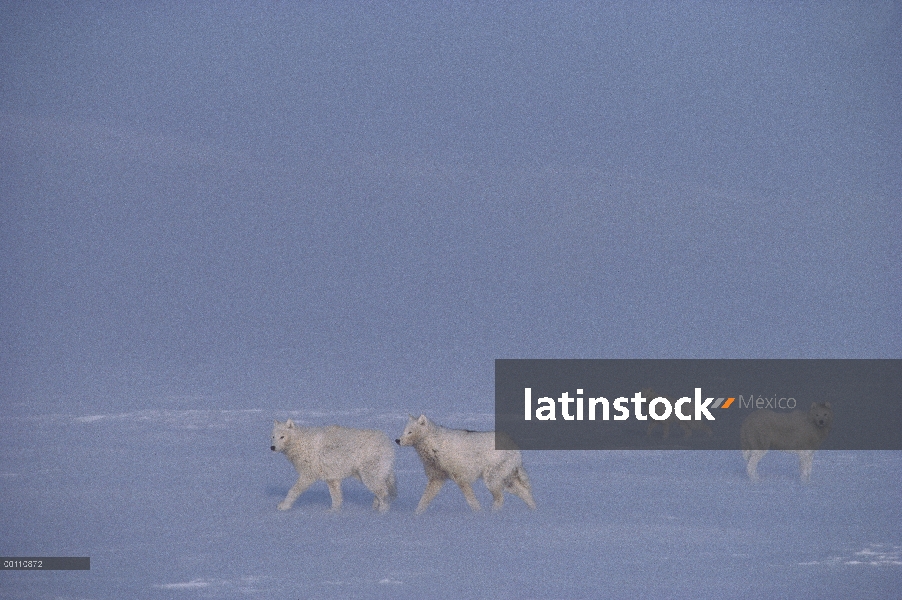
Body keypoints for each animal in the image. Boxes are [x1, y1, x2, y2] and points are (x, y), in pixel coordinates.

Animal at [268, 420, 396, 512]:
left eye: (282, 437)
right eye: (273, 436)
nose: (272, 447)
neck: (300, 443)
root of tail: (386, 442)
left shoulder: (307, 476)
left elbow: (292, 491)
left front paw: (284, 506)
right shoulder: (332, 479)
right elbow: (336, 498)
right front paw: (333, 513)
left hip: (369, 477)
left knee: (384, 495)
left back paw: (381, 514)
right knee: (380, 495)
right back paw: (374, 511)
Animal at [396, 414, 536, 512]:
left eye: (410, 432)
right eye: (404, 431)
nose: (397, 440)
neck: (435, 446)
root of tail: (516, 448)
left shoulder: (461, 479)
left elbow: (472, 502)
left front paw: (479, 515)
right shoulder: (436, 479)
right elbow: (422, 503)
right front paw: (415, 518)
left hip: (492, 481)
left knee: (501, 499)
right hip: (506, 483)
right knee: (525, 493)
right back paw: (533, 514)